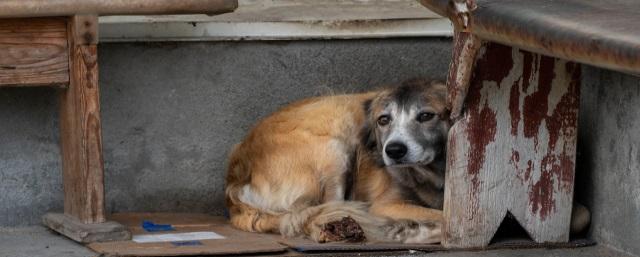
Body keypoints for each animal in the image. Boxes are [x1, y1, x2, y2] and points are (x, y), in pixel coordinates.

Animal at [225, 78, 450, 242]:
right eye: (384, 120)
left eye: (426, 116)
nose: (394, 151)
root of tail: (235, 179)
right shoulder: (386, 205)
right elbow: (446, 217)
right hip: (336, 140)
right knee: (323, 213)